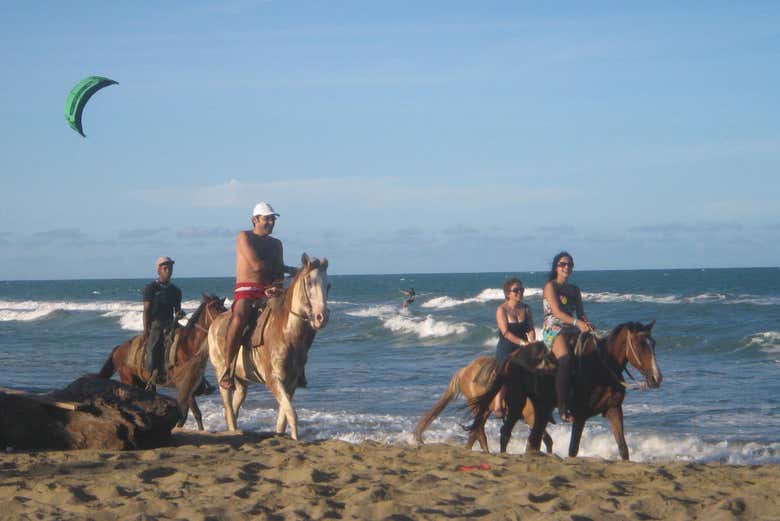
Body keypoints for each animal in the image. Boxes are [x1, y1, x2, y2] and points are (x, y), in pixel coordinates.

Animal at [99, 294, 227, 430]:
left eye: (224, 307)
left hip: (143, 382)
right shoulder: (185, 388)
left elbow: (186, 415)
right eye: (214, 307)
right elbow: (193, 414)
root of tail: (119, 349)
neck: (187, 346)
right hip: (129, 380)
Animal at [208, 253, 330, 440]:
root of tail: (215, 323)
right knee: (228, 409)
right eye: (309, 282)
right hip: (222, 375)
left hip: (241, 382)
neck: (286, 333)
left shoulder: (291, 384)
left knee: (234, 409)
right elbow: (292, 414)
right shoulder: (274, 381)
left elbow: (283, 419)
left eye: (328, 285)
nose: (321, 317)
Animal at [414, 355, 554, 453]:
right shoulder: (531, 417)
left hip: (485, 410)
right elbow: (543, 440)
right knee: (479, 431)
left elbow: (544, 441)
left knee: (475, 432)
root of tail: (465, 370)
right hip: (478, 408)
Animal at [469, 321, 662, 460]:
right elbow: (573, 450)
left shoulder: (614, 409)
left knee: (533, 440)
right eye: (638, 344)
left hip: (541, 408)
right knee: (506, 432)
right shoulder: (580, 415)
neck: (600, 367)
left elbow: (623, 449)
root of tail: (511, 357)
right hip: (517, 402)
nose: (656, 378)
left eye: (653, 343)